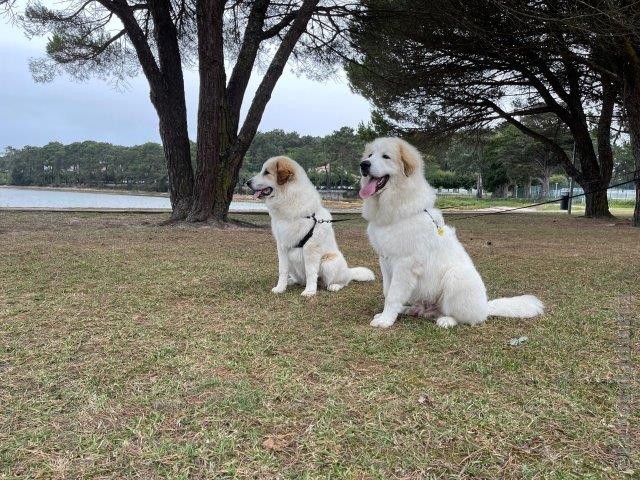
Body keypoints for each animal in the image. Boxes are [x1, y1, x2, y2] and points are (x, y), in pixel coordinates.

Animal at [246, 156, 376, 296]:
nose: (247, 182)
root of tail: (348, 271)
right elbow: (282, 270)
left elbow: (311, 272)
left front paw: (309, 291)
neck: (288, 198)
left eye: (266, 172)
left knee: (343, 281)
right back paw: (291, 281)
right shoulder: (282, 247)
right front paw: (280, 288)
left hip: (328, 262)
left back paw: (334, 286)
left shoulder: (310, 249)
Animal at [358, 137, 544, 328]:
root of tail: (485, 307)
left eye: (386, 156)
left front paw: (386, 320)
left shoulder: (404, 264)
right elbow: (387, 291)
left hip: (456, 277)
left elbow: (393, 296)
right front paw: (385, 315)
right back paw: (411, 309)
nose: (363, 164)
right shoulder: (384, 261)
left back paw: (446, 320)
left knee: (468, 318)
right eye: (370, 155)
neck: (395, 208)